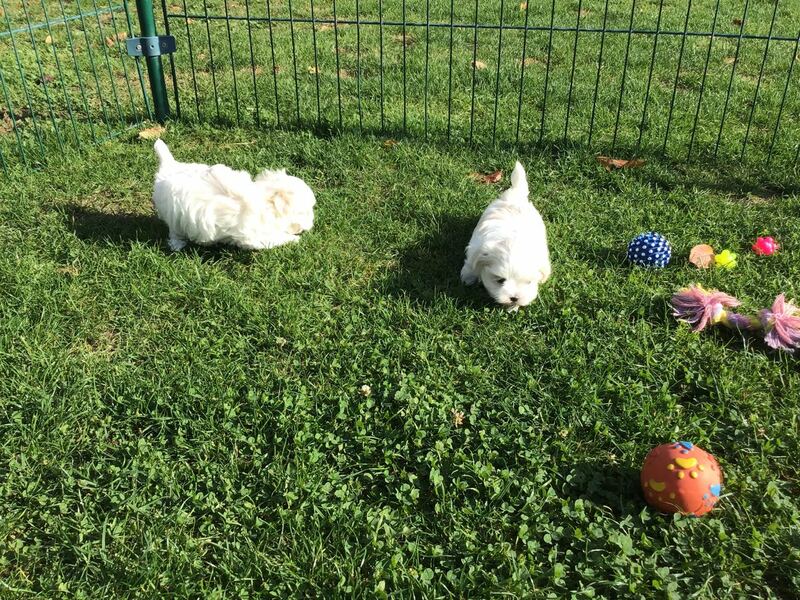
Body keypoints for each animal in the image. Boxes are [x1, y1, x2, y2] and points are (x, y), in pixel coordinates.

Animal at [152, 139, 316, 251]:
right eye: (305, 212)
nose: (312, 224)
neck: (266, 202)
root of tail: (167, 168)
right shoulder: (256, 235)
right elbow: (276, 238)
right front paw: (294, 239)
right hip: (174, 216)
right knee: (174, 232)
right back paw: (177, 245)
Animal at [460, 161, 551, 311]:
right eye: (500, 280)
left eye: (528, 282)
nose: (514, 297)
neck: (512, 243)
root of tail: (516, 194)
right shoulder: (475, 249)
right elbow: (471, 264)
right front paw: (468, 277)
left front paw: (513, 307)